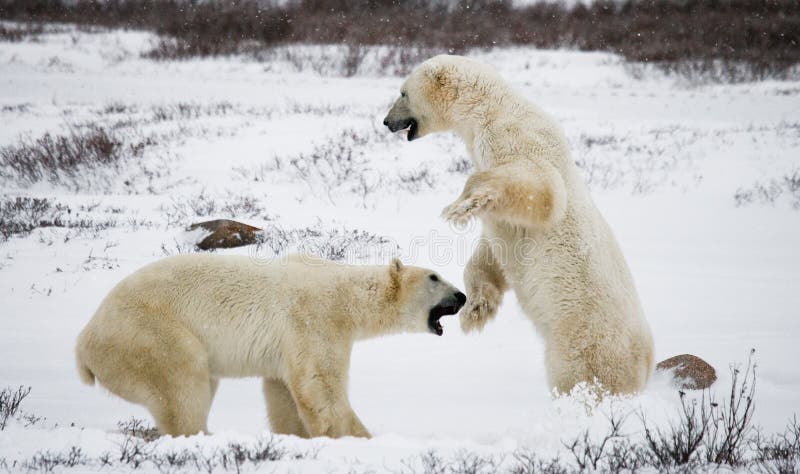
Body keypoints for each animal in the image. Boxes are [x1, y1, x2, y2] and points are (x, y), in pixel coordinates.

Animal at [77, 256, 466, 436]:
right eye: (434, 277)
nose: (462, 295)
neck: (345, 295)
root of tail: (84, 343)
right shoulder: (315, 320)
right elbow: (321, 389)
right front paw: (358, 437)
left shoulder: (287, 347)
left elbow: (284, 394)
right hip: (150, 333)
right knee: (183, 382)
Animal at [382, 54, 656, 396]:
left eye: (403, 93)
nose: (386, 121)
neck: (490, 110)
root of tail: (646, 364)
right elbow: (492, 250)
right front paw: (477, 308)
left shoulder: (517, 137)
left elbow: (541, 189)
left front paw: (461, 205)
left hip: (584, 340)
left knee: (579, 375)